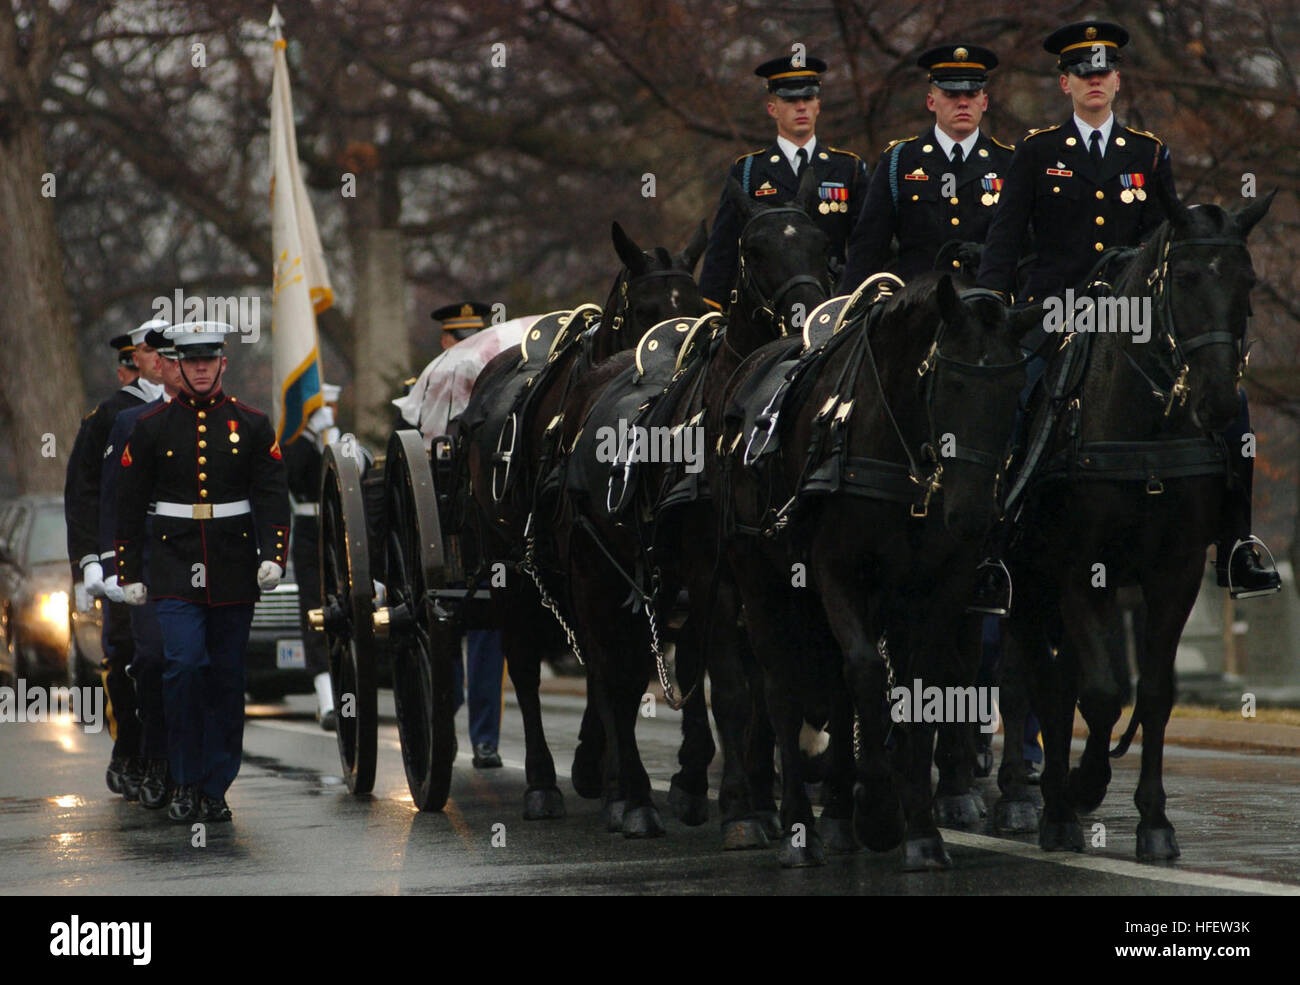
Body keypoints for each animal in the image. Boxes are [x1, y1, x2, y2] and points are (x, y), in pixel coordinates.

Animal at [454, 219, 702, 821]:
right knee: (523, 667)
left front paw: (606, 773)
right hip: (510, 570)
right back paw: (542, 781)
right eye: (645, 312)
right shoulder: (588, 564)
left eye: (697, 306)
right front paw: (617, 782)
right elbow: (608, 666)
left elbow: (618, 669)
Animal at [556, 170, 821, 842]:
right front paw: (739, 808)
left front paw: (757, 796)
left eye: (820, 241)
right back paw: (630, 797)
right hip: (594, 576)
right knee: (613, 676)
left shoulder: (759, 576)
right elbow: (728, 689)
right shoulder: (714, 579)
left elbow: (762, 688)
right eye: (754, 249)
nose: (809, 315)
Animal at [712, 274, 1034, 868]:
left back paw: (839, 813)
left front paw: (921, 830)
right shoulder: (838, 573)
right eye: (949, 384)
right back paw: (797, 826)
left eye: (1015, 389)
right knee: (782, 691)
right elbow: (864, 672)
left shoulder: (939, 589)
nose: (973, 516)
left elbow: (917, 689)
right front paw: (882, 814)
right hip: (762, 585)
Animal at [987, 191, 1274, 857]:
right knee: (1028, 682)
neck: (1146, 430)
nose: (1218, 400)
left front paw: (1154, 822)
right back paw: (1033, 800)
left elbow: (1154, 694)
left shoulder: (1175, 575)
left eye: (1247, 281)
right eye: (1186, 278)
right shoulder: (1077, 572)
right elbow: (1097, 694)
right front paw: (1082, 790)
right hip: (1025, 583)